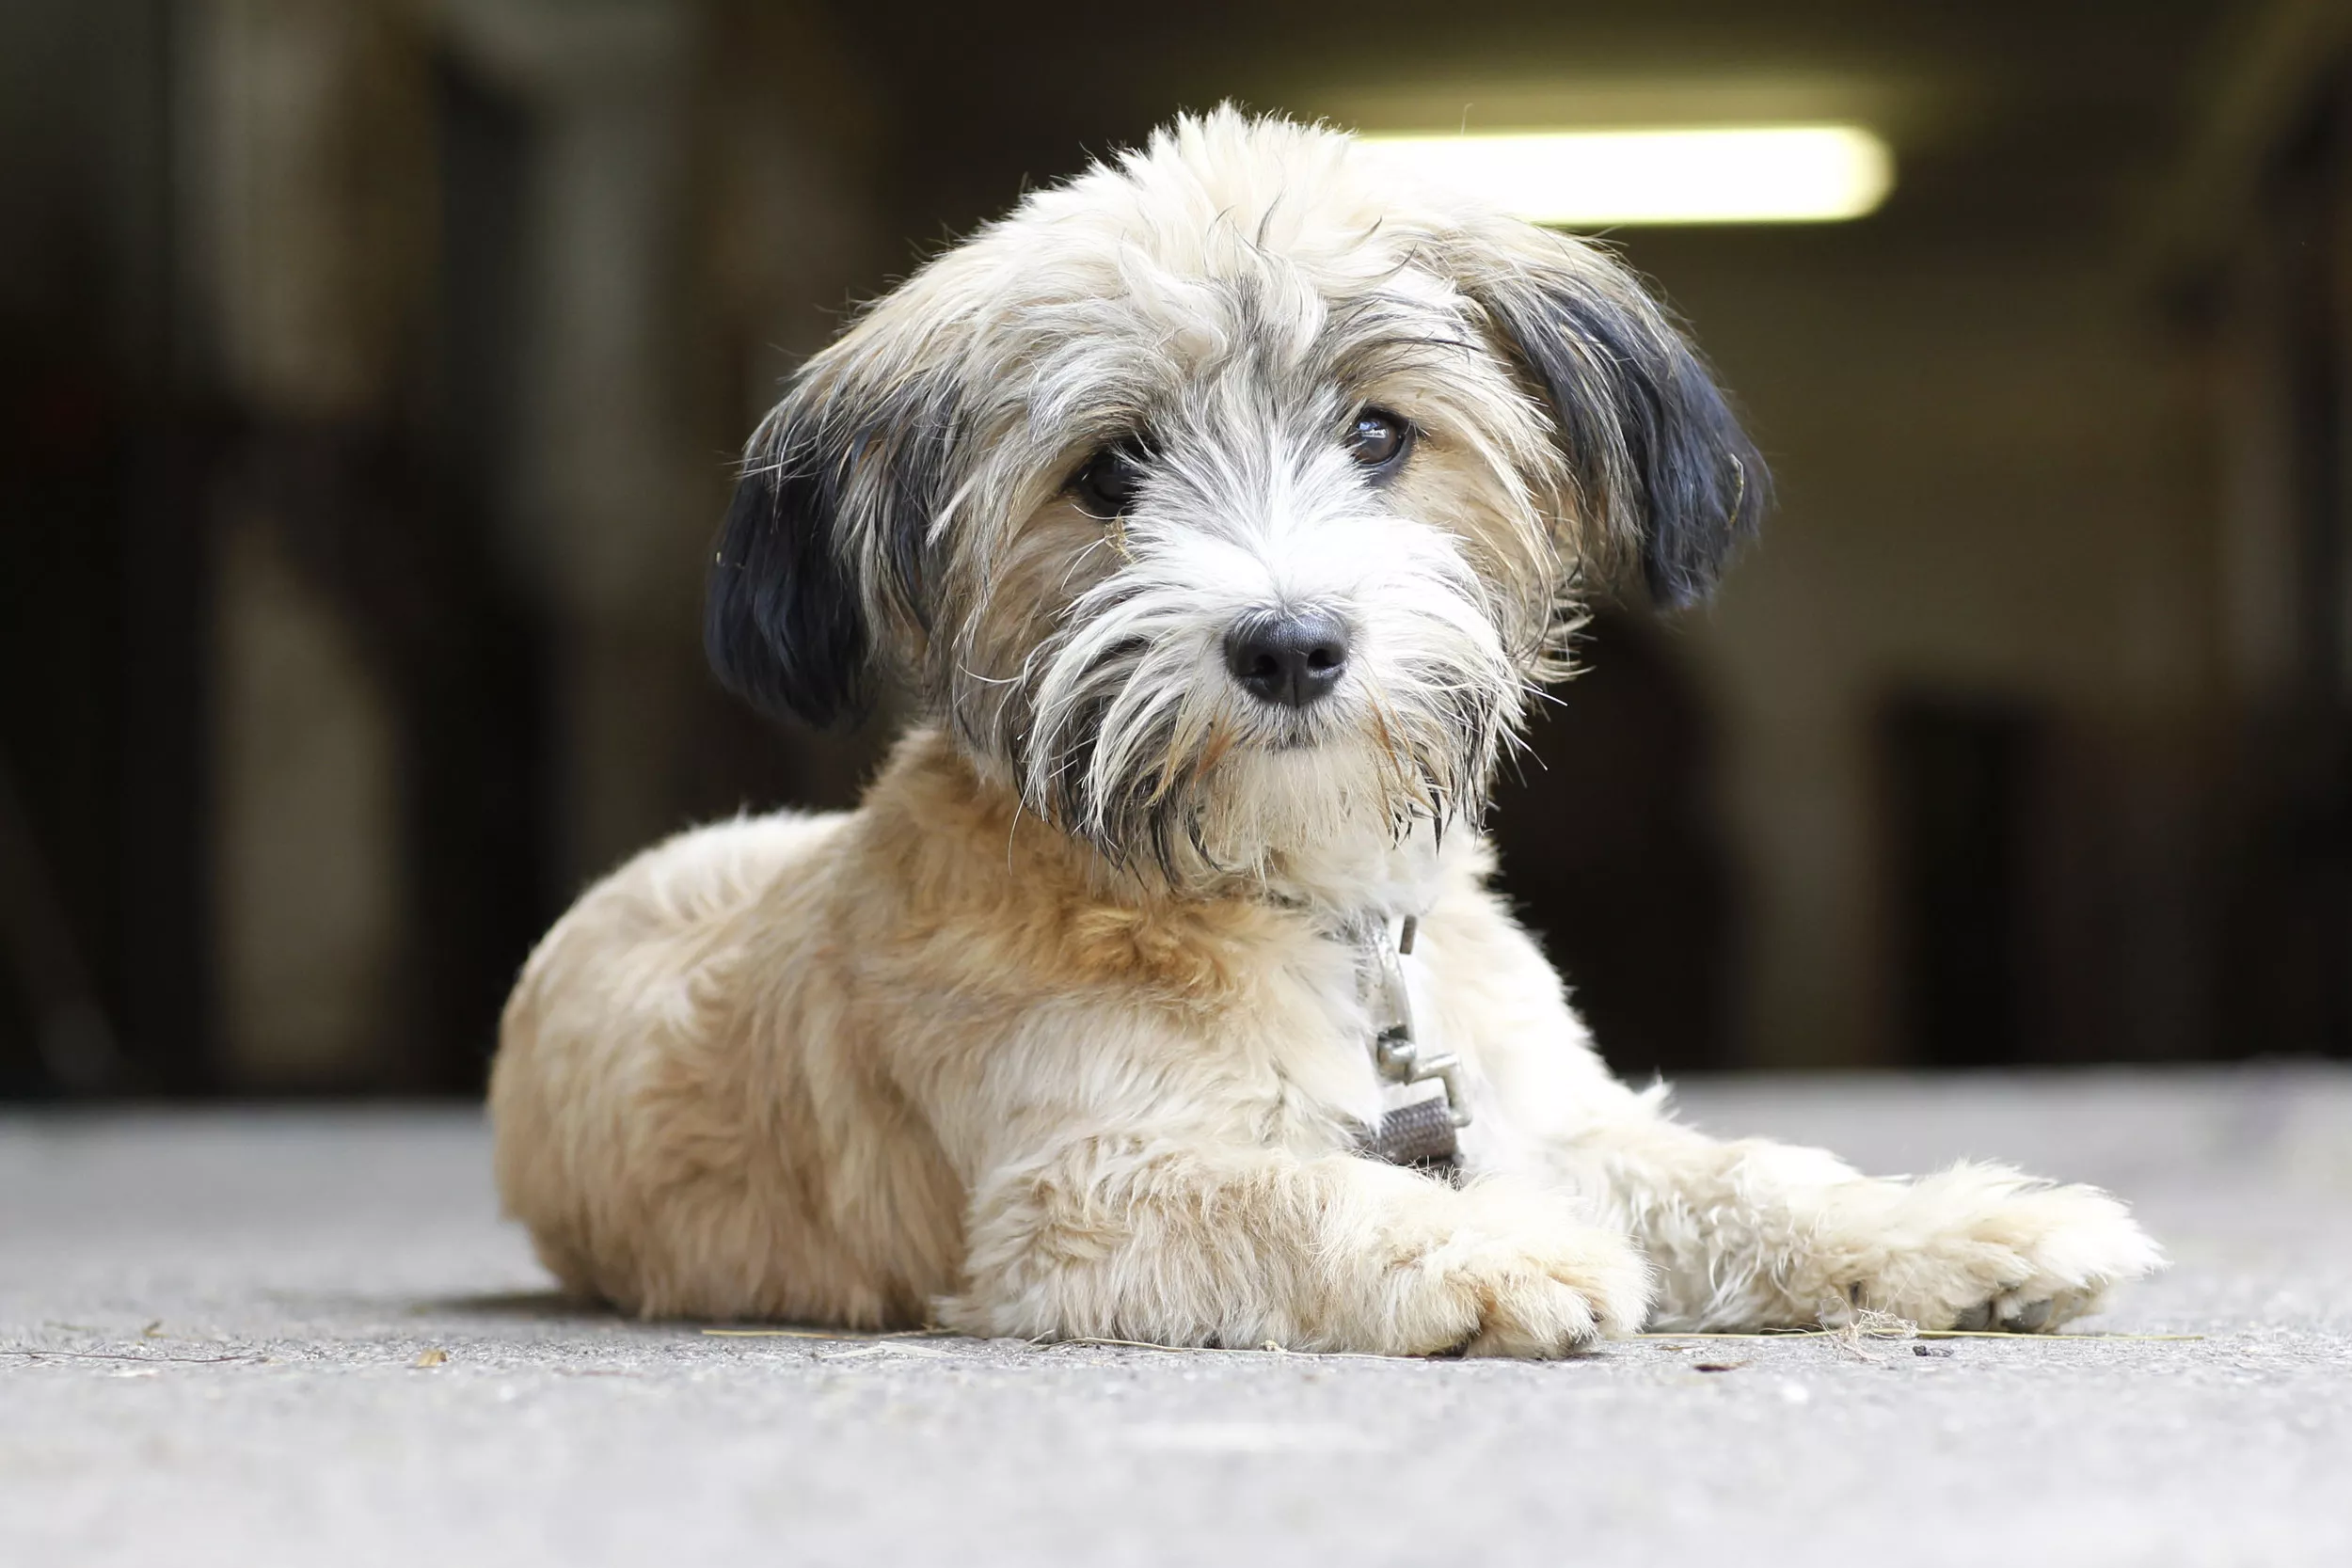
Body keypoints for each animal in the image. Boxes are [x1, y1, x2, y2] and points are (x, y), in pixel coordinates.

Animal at [486, 113, 2154, 1363]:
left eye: (1377, 432)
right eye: (1112, 471)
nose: (1289, 645)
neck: (1307, 904)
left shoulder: (1540, 1107)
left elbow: (1744, 1175)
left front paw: (1958, 1224)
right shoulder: (1081, 1193)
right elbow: (1297, 1195)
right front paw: (1489, 1251)